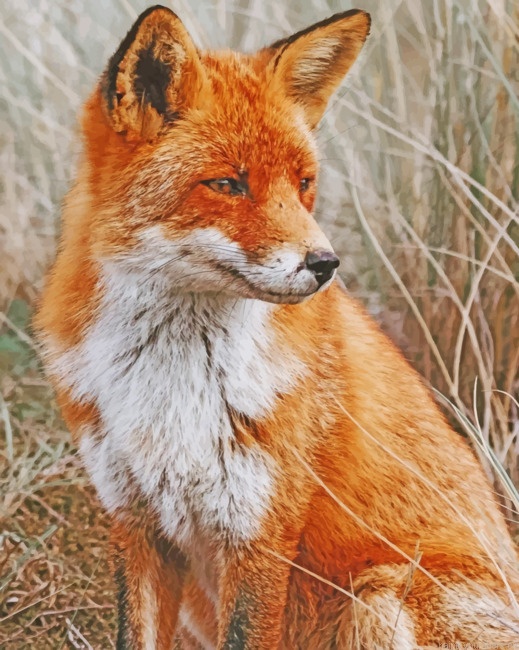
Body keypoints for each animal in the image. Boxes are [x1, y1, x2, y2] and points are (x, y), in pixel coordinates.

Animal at [35, 5, 519, 649]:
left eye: (304, 182)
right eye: (227, 184)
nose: (325, 264)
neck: (172, 387)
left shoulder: (259, 535)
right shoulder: (136, 525)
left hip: (378, 598)